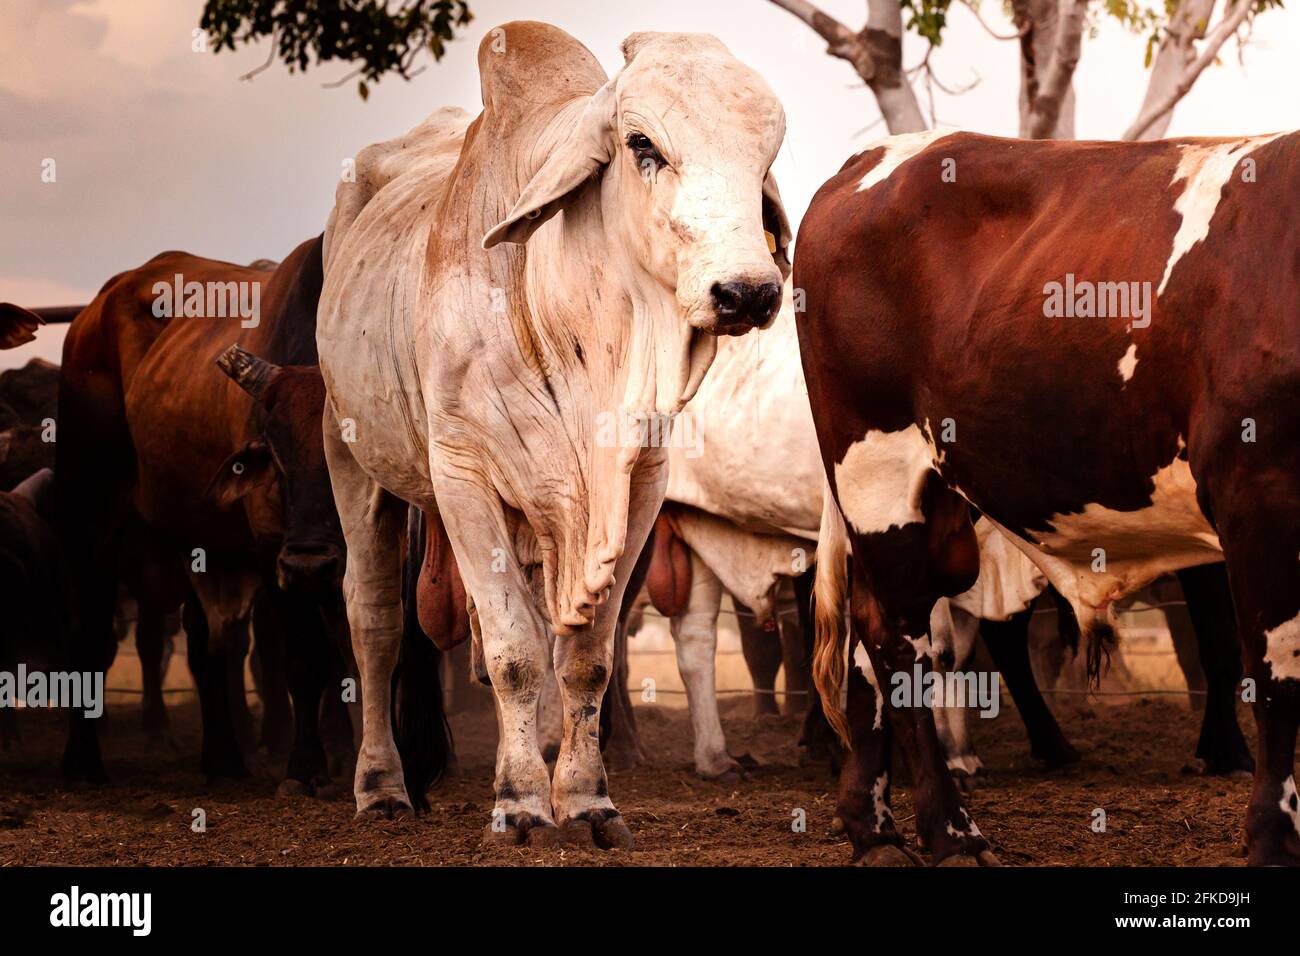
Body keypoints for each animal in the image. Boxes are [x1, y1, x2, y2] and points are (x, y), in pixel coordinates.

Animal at [315, 20, 785, 842]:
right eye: (641, 143)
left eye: (765, 156)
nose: (748, 292)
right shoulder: (462, 475)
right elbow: (513, 654)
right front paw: (521, 802)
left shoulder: (636, 486)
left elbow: (586, 657)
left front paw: (587, 798)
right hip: (351, 456)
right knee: (373, 617)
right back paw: (380, 785)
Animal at [800, 127, 1300, 868]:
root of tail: (875, 158)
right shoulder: (1258, 499)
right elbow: (1275, 676)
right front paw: (1273, 839)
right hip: (875, 471)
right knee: (897, 645)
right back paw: (951, 834)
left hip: (930, 503)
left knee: (868, 640)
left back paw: (876, 831)